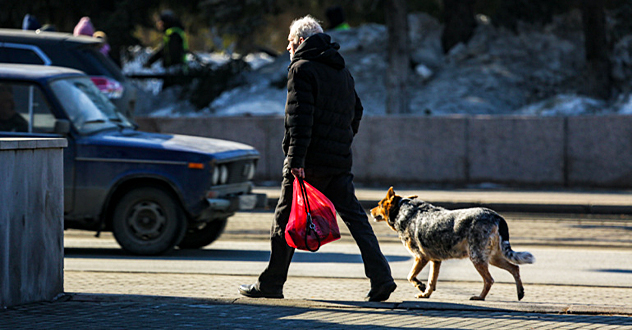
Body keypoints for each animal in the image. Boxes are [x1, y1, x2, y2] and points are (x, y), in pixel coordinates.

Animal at [370, 187, 532, 300]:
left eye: (379, 204)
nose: (370, 211)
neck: (403, 210)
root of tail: (497, 216)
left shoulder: (420, 257)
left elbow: (410, 276)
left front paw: (420, 286)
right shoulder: (435, 260)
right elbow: (431, 281)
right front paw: (425, 294)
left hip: (477, 257)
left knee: (489, 280)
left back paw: (480, 297)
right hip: (493, 257)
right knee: (515, 268)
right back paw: (520, 292)